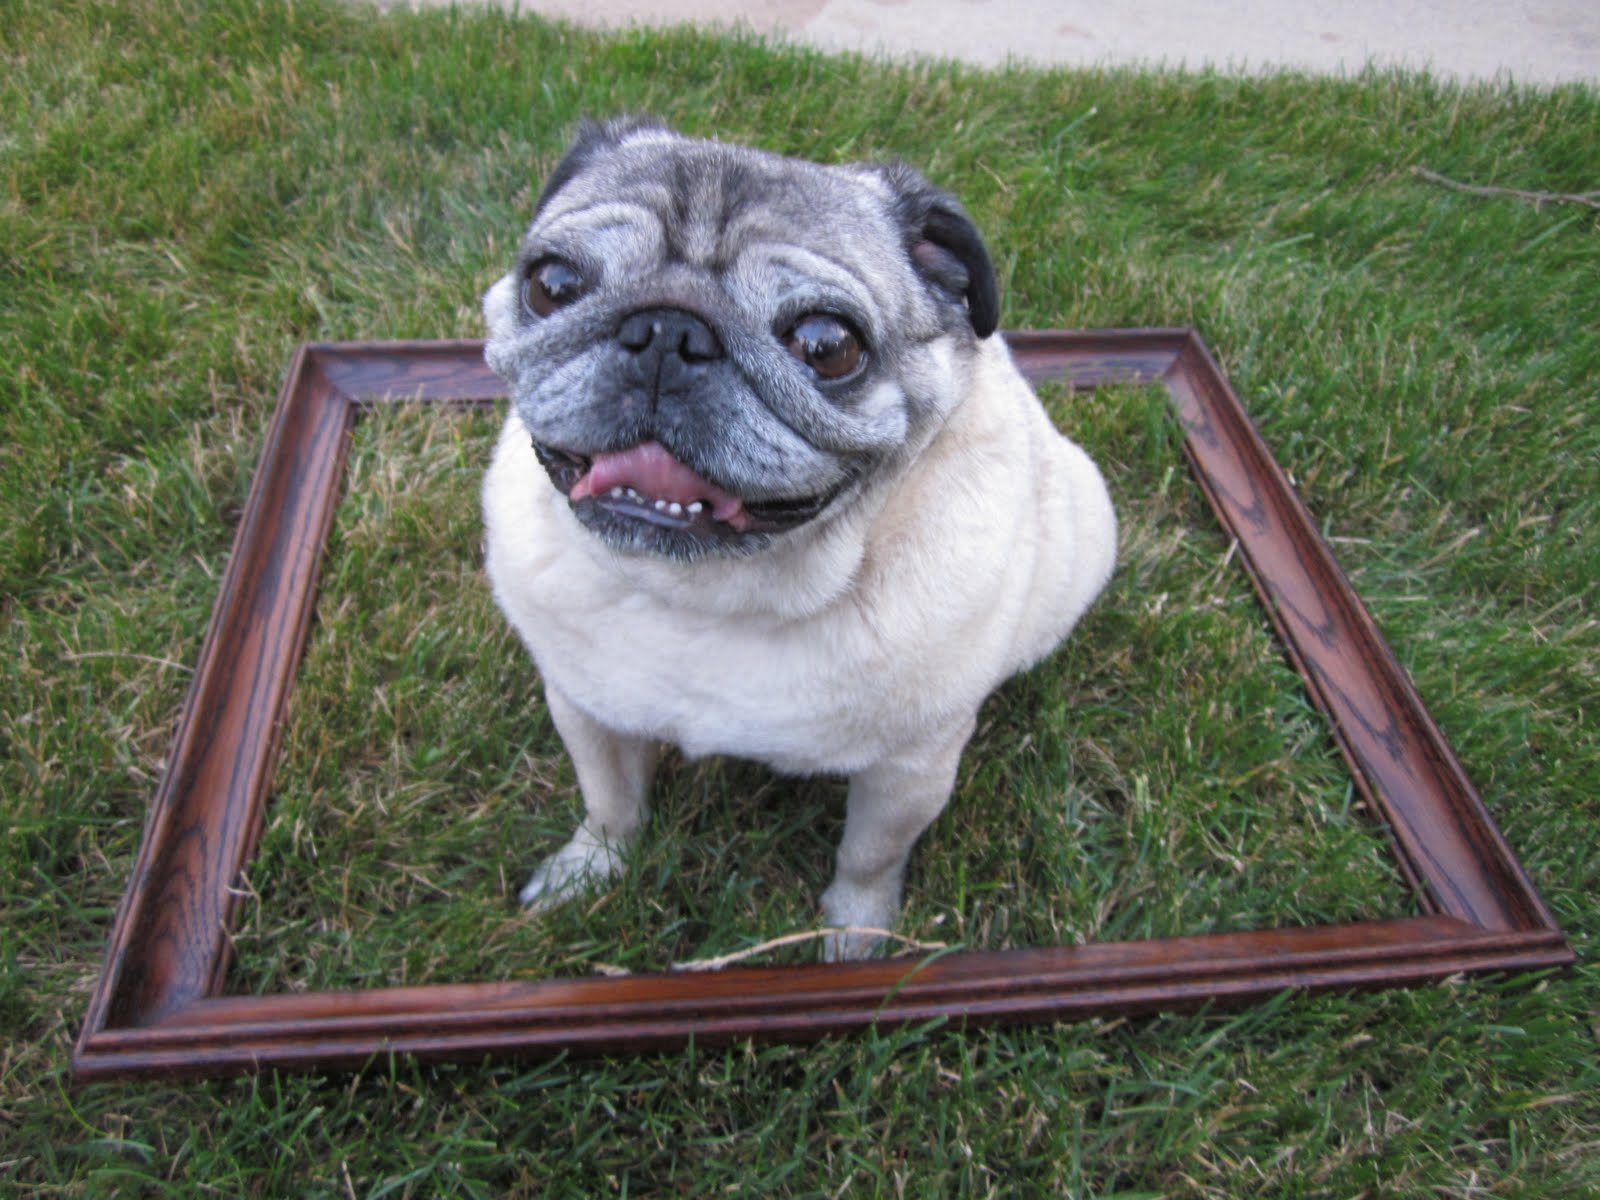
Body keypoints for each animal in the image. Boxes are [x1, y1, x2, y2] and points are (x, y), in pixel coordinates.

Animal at [480, 118, 1116, 959]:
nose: (668, 330)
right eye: (552, 285)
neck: (706, 595)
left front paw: (854, 937)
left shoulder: (909, 770)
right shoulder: (586, 709)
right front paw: (588, 872)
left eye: (825, 345)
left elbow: (870, 857)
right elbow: (610, 803)